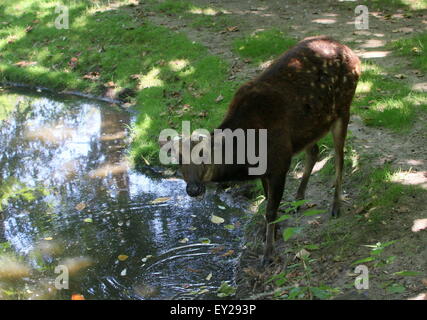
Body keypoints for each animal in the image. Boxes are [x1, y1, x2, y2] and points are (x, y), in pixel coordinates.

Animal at [171, 35, 362, 264]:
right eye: (178, 160)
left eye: (204, 155)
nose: (193, 189)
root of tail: (352, 53)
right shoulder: (265, 166)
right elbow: (267, 199)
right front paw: (269, 233)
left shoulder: (280, 161)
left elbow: (270, 209)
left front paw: (268, 254)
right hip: (309, 127)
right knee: (314, 150)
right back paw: (298, 199)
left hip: (344, 106)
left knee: (340, 157)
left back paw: (336, 206)